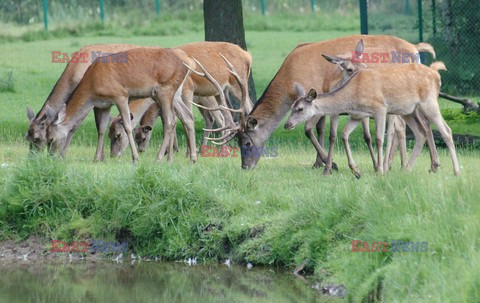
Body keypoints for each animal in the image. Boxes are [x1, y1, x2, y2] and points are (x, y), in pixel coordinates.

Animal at [45, 47, 195, 165]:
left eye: (50, 138)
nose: (50, 156)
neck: (92, 87)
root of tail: (186, 63)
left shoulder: (120, 95)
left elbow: (128, 126)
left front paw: (135, 159)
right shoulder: (104, 105)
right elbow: (101, 129)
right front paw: (97, 158)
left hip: (165, 90)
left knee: (170, 121)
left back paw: (159, 158)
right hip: (175, 93)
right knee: (187, 116)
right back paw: (188, 159)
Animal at [204, 35, 436, 171]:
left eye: (247, 143)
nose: (245, 166)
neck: (289, 82)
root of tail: (416, 49)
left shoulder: (314, 95)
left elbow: (308, 130)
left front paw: (331, 163)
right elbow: (321, 129)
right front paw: (319, 162)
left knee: (402, 126)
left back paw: (394, 164)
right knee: (411, 125)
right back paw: (413, 164)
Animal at [284, 61, 460, 177]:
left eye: (300, 108)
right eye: (291, 106)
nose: (287, 124)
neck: (353, 97)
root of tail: (437, 75)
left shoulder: (380, 108)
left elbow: (379, 139)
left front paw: (380, 170)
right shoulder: (358, 115)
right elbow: (344, 134)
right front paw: (356, 170)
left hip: (429, 103)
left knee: (446, 131)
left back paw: (456, 171)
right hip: (409, 110)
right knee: (421, 132)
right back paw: (407, 169)